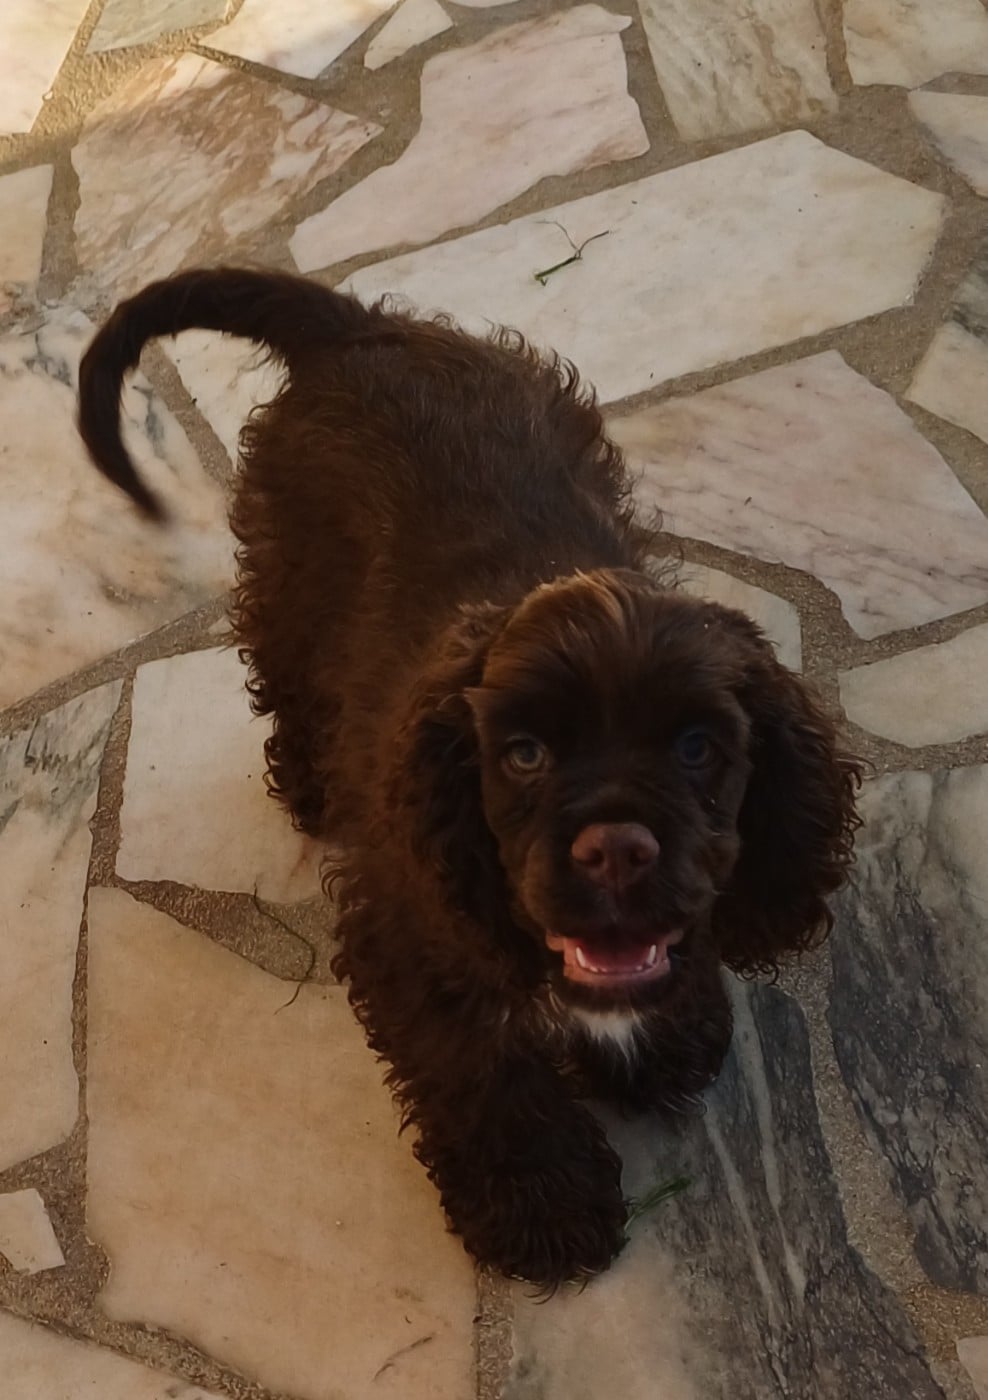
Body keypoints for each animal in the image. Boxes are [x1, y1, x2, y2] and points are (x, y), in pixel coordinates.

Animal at [78, 267, 861, 1286]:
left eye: (697, 746)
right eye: (523, 754)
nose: (617, 851)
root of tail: (358, 328)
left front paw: (665, 1037)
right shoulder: (417, 938)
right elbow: (486, 1077)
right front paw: (544, 1210)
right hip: (291, 576)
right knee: (286, 675)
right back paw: (311, 785)